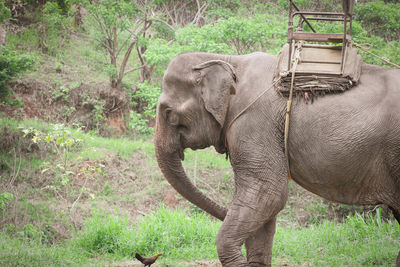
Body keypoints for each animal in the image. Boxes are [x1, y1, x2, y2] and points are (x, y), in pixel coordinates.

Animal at [154, 51, 400, 266]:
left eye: (168, 113)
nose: (224, 212)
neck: (229, 60)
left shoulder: (254, 124)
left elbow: (268, 194)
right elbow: (263, 207)